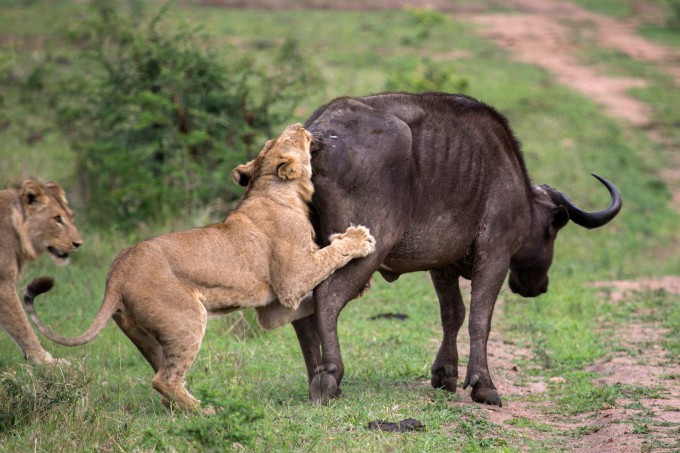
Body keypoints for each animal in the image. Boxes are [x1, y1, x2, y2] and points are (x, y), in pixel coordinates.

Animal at [0, 179, 83, 364]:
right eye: (57, 218)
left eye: (71, 216)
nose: (78, 244)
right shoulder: (3, 283)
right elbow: (21, 325)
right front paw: (45, 361)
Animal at [25, 122, 378, 410]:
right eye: (292, 138)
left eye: (272, 140)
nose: (301, 125)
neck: (272, 189)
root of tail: (115, 274)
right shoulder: (291, 282)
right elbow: (329, 256)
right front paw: (359, 239)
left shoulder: (274, 309)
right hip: (186, 319)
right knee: (163, 380)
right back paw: (206, 411)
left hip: (148, 335)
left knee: (163, 377)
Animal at [238, 92, 620, 406]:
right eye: (555, 228)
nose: (537, 287)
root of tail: (318, 136)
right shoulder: (494, 257)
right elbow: (480, 318)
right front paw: (483, 385)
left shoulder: (443, 265)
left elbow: (453, 314)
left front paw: (445, 373)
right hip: (366, 247)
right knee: (328, 298)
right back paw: (329, 377)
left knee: (302, 309)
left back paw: (315, 376)